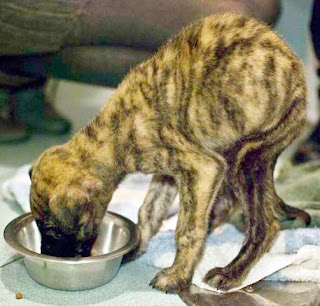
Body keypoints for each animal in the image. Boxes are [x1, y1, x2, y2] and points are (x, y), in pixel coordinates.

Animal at [29, 13, 310, 292]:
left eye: (53, 229)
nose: (48, 256)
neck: (116, 131)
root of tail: (298, 74)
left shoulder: (202, 168)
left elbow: (187, 229)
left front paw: (177, 275)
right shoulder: (168, 174)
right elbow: (148, 211)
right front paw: (139, 246)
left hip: (246, 157)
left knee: (265, 225)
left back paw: (231, 272)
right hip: (231, 154)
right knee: (226, 205)